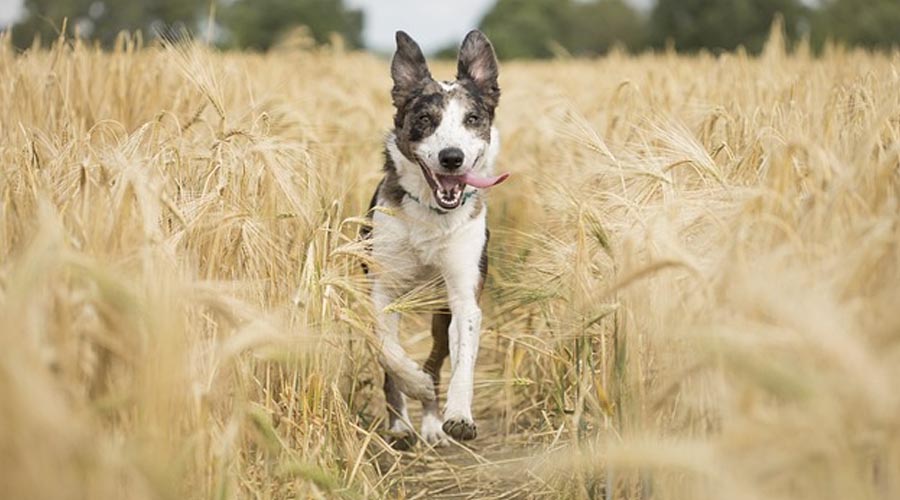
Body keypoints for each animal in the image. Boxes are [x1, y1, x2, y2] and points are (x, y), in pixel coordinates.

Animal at [362, 29, 510, 448]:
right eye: (425, 119)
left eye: (472, 119)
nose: (451, 157)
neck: (432, 214)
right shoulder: (382, 290)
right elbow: (388, 352)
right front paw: (413, 385)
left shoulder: (462, 296)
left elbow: (463, 359)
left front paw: (457, 415)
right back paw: (402, 424)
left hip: (439, 312)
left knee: (438, 357)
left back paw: (432, 423)